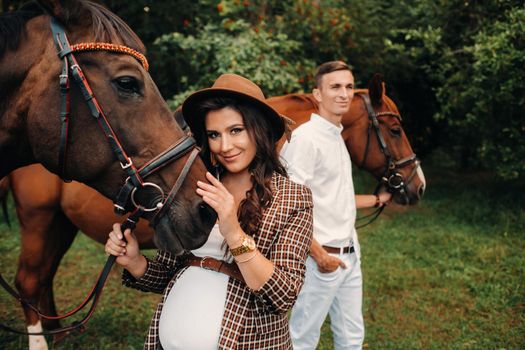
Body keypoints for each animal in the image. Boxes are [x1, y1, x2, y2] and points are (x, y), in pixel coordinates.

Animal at [1, 73, 426, 348]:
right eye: (394, 129)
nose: (417, 184)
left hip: (60, 225)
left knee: (42, 281)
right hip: (40, 220)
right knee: (29, 280)